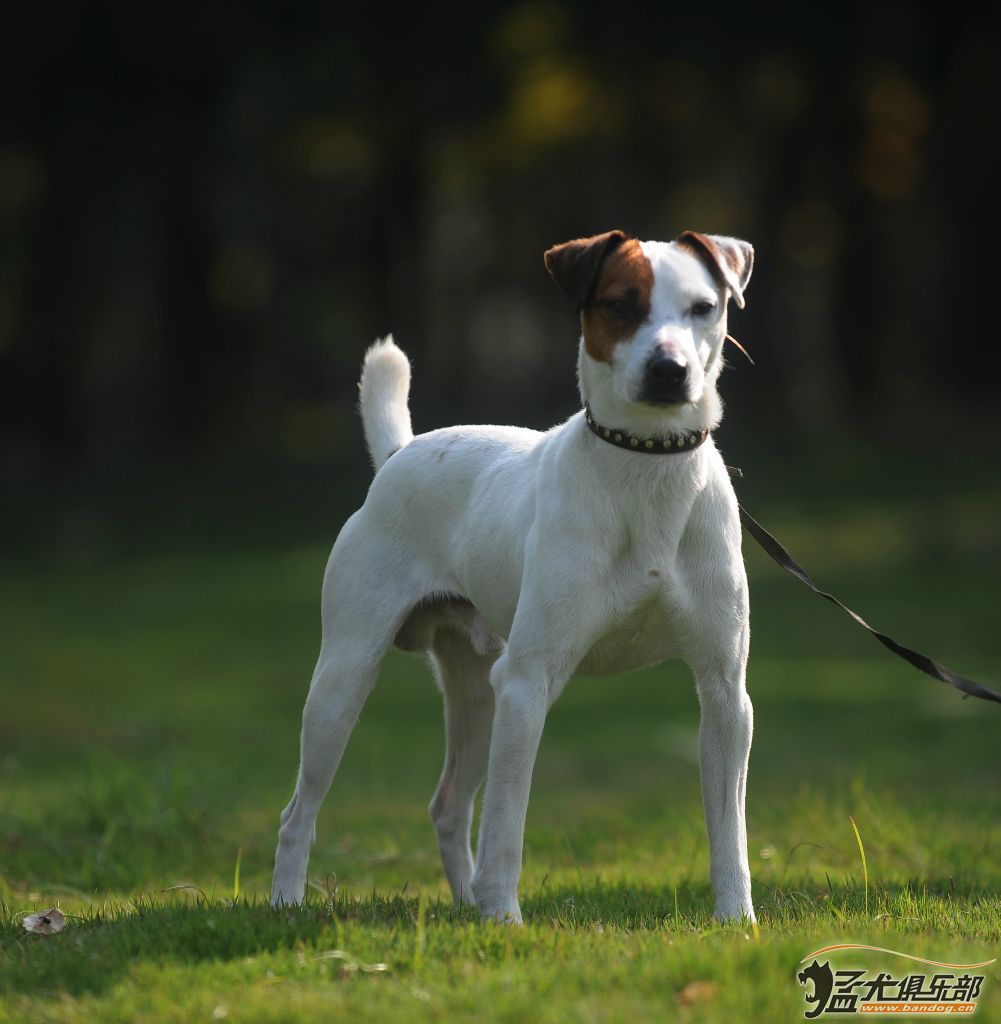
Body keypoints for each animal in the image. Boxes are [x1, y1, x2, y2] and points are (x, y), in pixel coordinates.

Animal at [270, 228, 753, 925]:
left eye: (703, 307)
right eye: (619, 304)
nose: (670, 370)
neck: (647, 473)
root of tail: (399, 453)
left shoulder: (724, 693)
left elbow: (727, 827)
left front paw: (736, 918)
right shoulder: (526, 685)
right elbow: (506, 823)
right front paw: (503, 920)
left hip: (475, 693)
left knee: (448, 805)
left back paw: (464, 901)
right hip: (346, 677)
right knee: (299, 810)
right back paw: (287, 903)